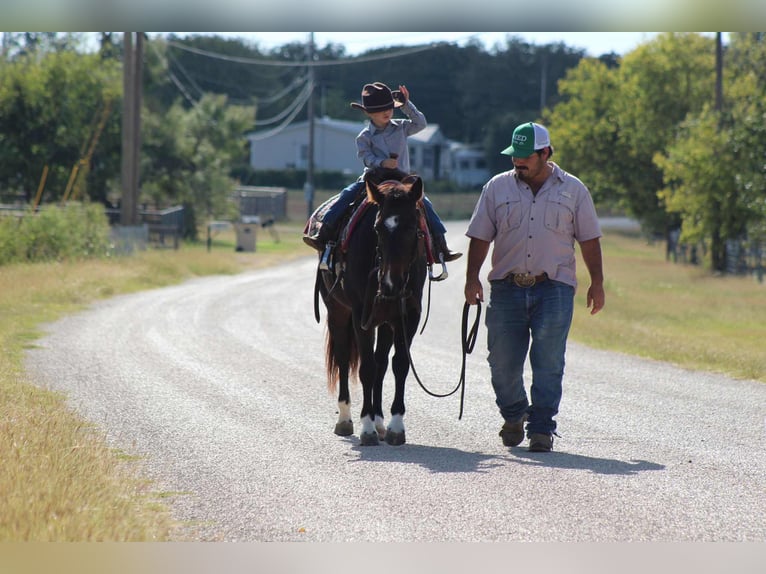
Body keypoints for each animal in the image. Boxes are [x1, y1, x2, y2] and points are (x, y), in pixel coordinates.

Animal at [315, 168, 428, 446]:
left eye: (413, 227)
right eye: (377, 227)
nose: (390, 284)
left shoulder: (409, 316)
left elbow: (400, 364)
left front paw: (395, 425)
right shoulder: (359, 315)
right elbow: (366, 368)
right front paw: (366, 428)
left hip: (385, 320)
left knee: (382, 363)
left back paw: (380, 422)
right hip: (338, 312)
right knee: (345, 358)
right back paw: (346, 419)